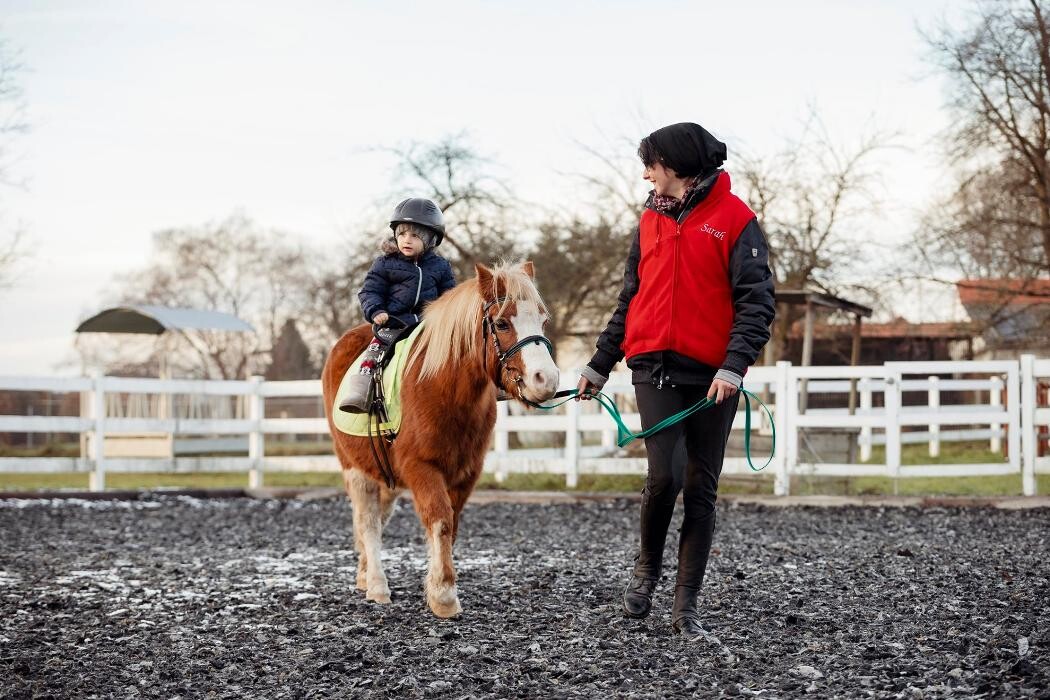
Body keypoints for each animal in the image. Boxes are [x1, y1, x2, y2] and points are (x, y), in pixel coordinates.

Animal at [321, 260, 562, 617]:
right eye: (502, 323)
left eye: (542, 321)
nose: (545, 379)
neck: (443, 387)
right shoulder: (422, 467)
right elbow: (440, 521)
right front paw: (444, 595)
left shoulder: (466, 472)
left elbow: (453, 524)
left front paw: (440, 587)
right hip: (356, 468)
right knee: (368, 522)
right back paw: (377, 585)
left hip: (383, 476)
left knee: (377, 519)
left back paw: (365, 575)